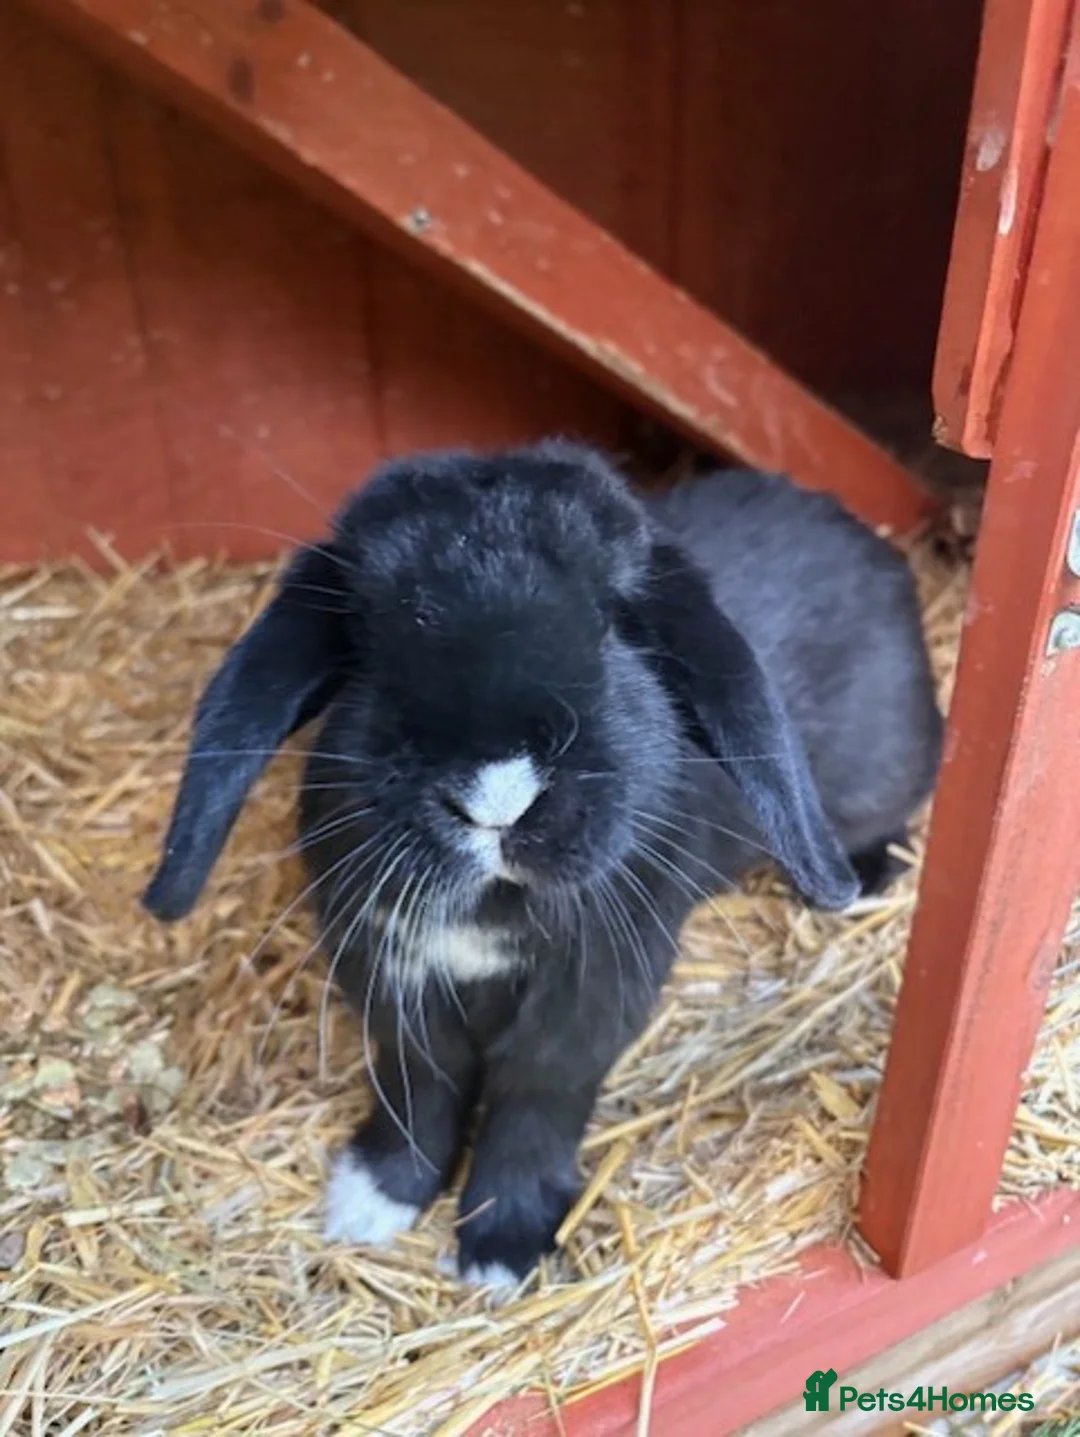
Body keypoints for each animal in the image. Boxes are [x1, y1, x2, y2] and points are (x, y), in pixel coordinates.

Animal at [142, 440, 942, 1288]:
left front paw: (502, 1244)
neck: (491, 913)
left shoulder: (592, 992)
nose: (498, 794)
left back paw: (865, 877)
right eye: (369, 635)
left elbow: (537, 1095)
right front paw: (372, 1199)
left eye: (609, 625)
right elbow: (419, 1080)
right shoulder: (394, 973)